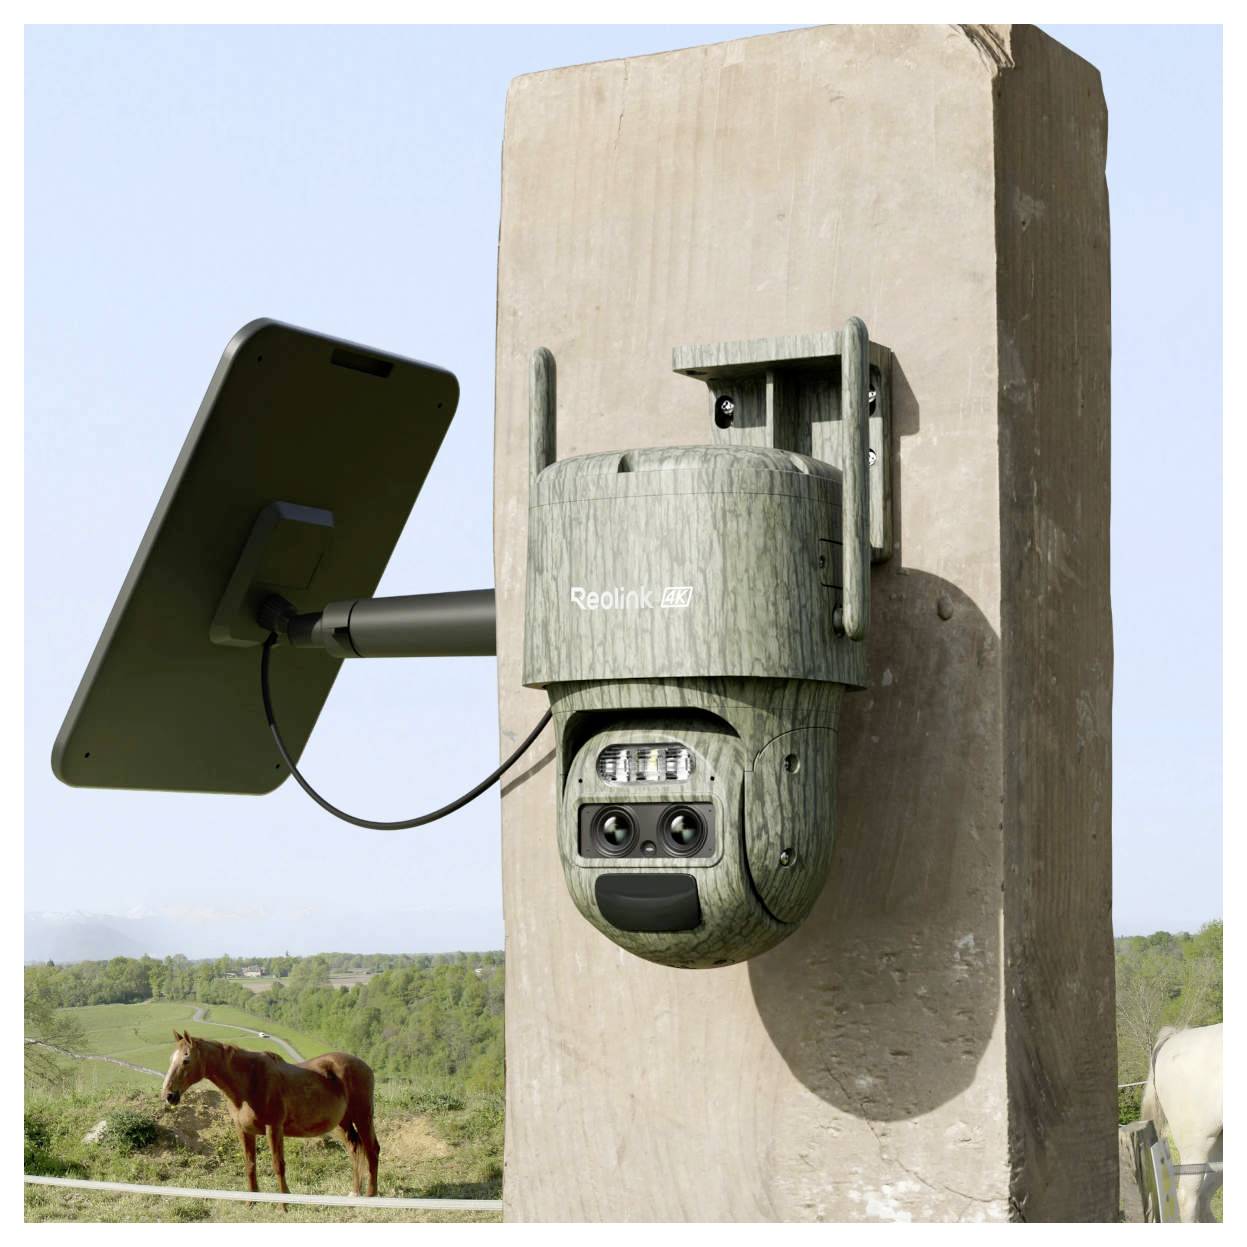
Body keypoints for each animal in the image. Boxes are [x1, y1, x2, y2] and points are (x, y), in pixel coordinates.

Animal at [161, 1030, 380, 1198]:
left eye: (186, 1059)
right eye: (170, 1059)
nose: (169, 1095)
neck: (249, 1082)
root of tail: (365, 1066)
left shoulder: (273, 1128)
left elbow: (278, 1165)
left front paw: (285, 1203)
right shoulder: (243, 1131)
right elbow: (250, 1165)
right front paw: (251, 1203)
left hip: (363, 1117)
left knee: (372, 1150)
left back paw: (371, 1194)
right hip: (342, 1123)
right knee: (354, 1149)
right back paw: (355, 1193)